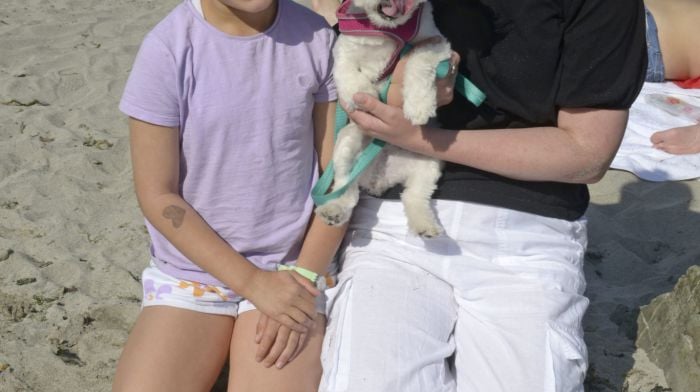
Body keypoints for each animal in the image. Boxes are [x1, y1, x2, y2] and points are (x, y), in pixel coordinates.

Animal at [318, 0, 454, 237]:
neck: (387, 30)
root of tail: (380, 178)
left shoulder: (436, 43)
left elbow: (419, 59)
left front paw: (419, 104)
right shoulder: (344, 49)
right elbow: (346, 71)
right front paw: (362, 94)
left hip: (429, 161)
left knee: (414, 196)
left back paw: (425, 225)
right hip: (346, 142)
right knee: (346, 188)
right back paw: (334, 210)